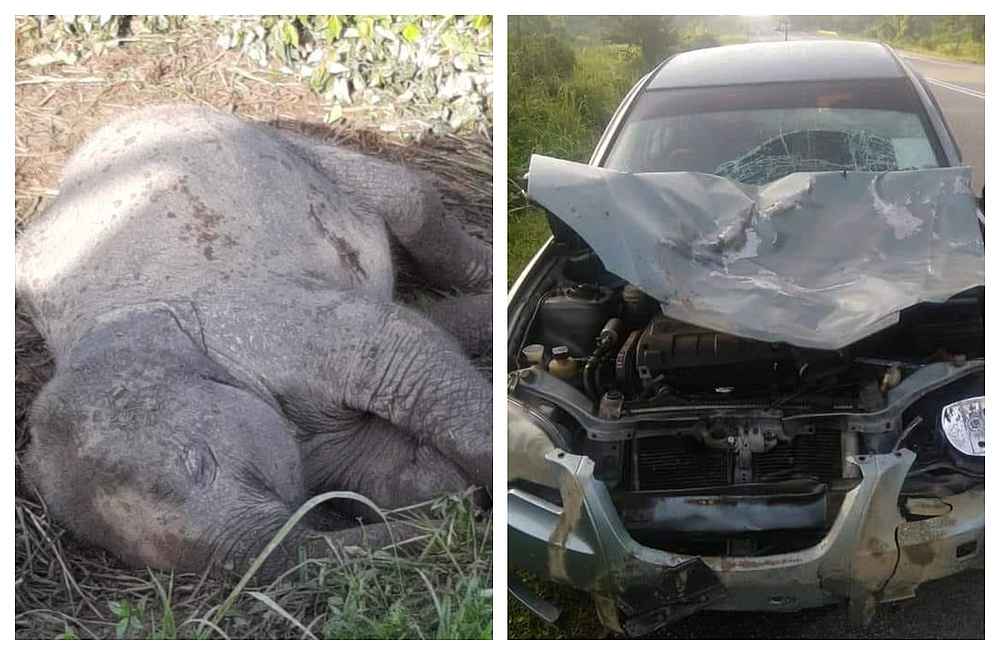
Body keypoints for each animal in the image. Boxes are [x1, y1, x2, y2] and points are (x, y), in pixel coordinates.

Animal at [17, 104, 494, 580]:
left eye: (199, 463)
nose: (461, 527)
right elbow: (376, 464)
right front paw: (442, 488)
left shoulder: (266, 322)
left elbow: (399, 348)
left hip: (302, 151)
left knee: (408, 197)